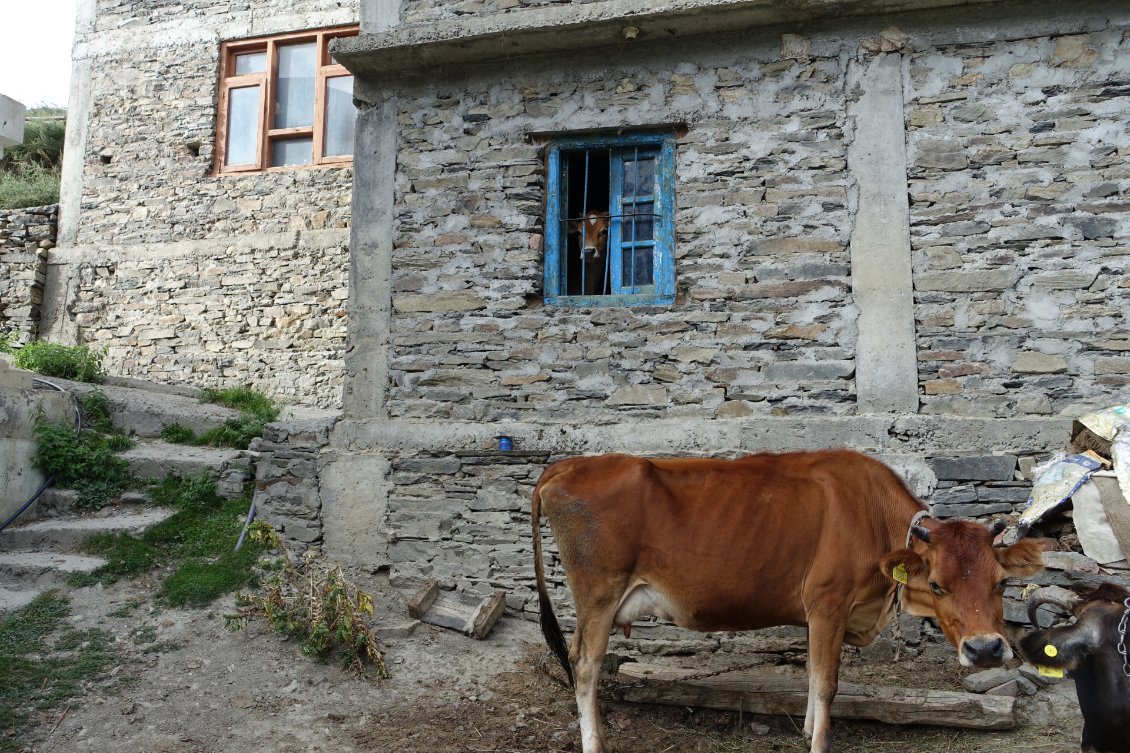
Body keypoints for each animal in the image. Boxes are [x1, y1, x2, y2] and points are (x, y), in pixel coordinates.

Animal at [533, 447, 1044, 750]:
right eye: (937, 583)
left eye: (1000, 582)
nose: (986, 649)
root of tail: (568, 464)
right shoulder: (829, 604)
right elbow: (826, 682)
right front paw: (818, 741)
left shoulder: (818, 613)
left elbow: (811, 675)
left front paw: (806, 728)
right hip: (598, 596)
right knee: (584, 665)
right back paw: (594, 743)